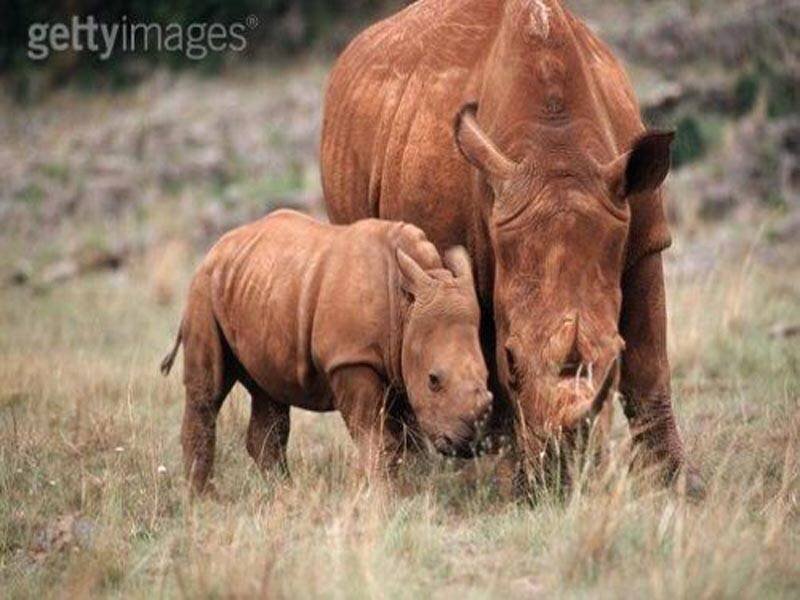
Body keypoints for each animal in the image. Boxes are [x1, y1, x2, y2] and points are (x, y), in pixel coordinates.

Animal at [160, 210, 492, 495]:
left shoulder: (398, 361)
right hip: (203, 288)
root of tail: (217, 248)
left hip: (260, 287)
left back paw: (285, 493)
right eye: (434, 380)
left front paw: (400, 491)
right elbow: (375, 436)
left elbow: (401, 440)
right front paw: (379, 497)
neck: (405, 308)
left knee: (269, 394)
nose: (467, 442)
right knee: (207, 391)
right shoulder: (351, 359)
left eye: (488, 376)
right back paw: (204, 499)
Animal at [321, 0, 702, 494]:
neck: (557, 151)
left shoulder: (643, 240)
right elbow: (485, 360)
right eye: (512, 359)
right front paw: (516, 486)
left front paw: (681, 482)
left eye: (612, 359)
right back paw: (422, 471)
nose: (565, 469)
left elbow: (650, 367)